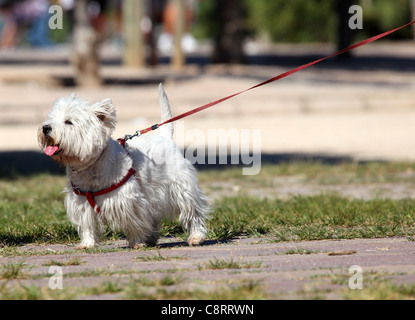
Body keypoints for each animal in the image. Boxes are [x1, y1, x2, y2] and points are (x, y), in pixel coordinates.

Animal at [39, 84, 211, 249]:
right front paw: (87, 244)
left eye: (69, 121)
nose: (45, 127)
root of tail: (165, 137)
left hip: (181, 188)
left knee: (192, 212)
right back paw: (151, 238)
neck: (91, 167)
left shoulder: (130, 201)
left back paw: (195, 237)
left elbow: (135, 223)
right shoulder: (82, 204)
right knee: (154, 216)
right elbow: (88, 225)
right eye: (51, 118)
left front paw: (137, 242)